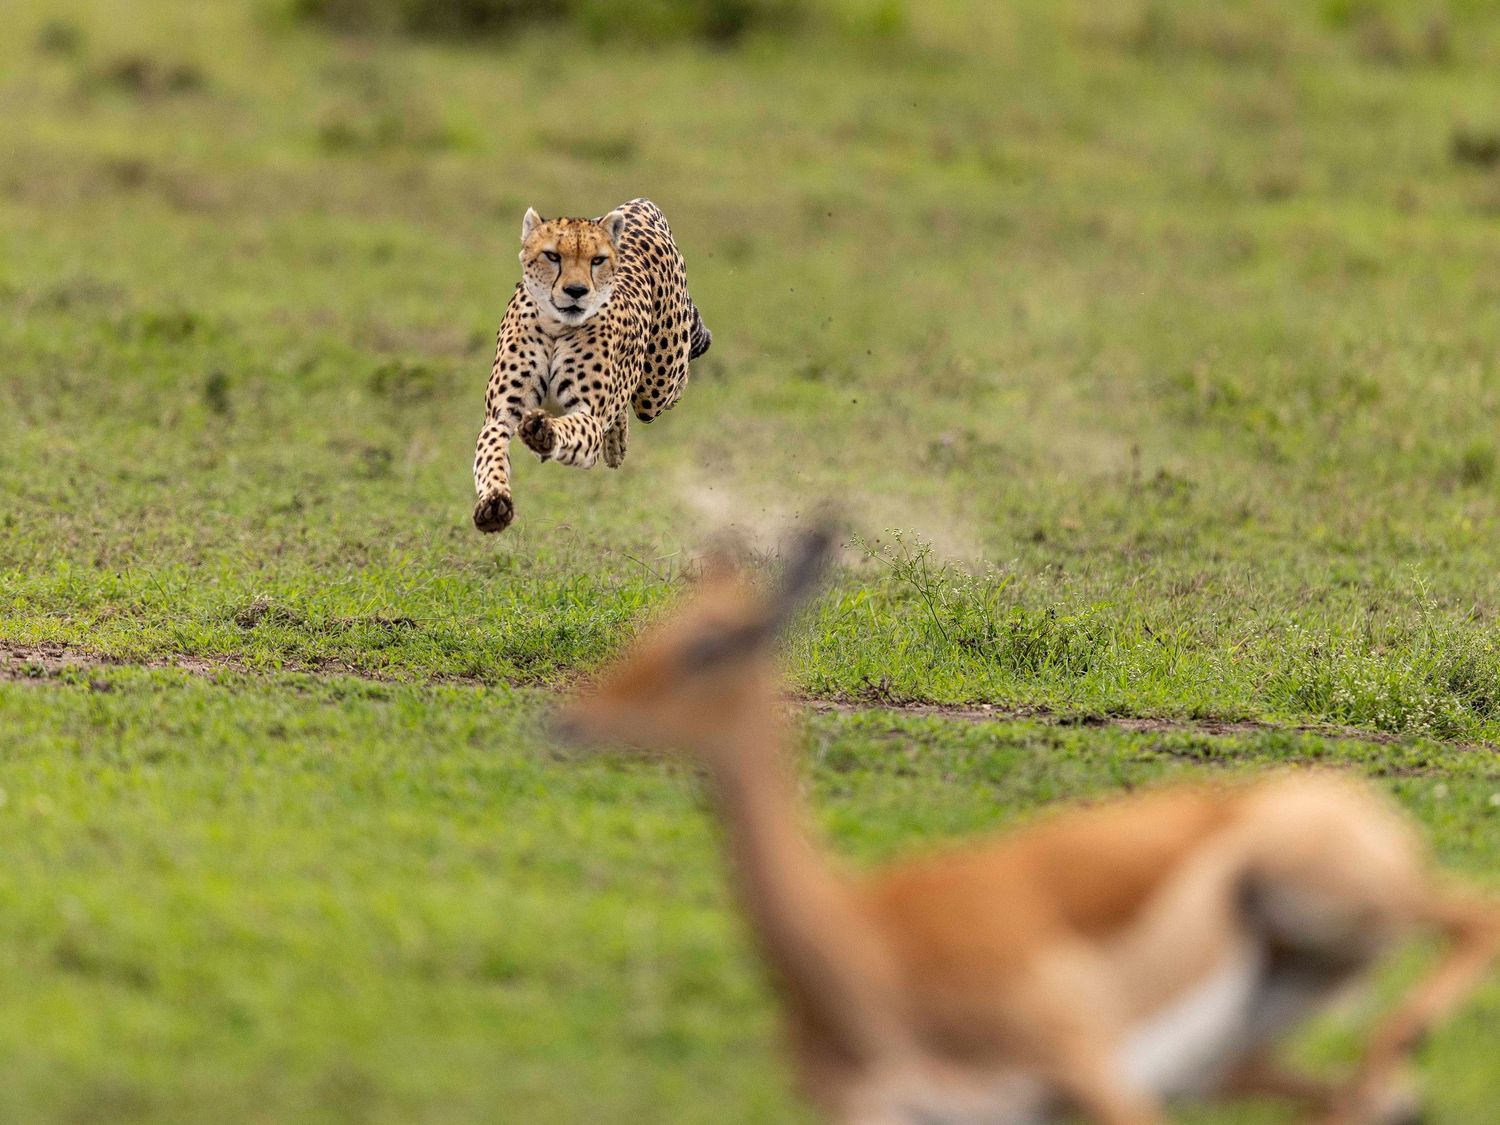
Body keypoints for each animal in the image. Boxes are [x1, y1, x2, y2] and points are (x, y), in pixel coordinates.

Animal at [472, 198, 712, 533]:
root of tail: (638, 203)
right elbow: (490, 455)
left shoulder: (587, 415)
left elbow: (571, 428)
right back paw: (617, 444)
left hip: (656, 386)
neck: (557, 324)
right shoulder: (501, 415)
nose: (576, 291)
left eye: (596, 260)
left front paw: (544, 432)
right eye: (552, 255)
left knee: (672, 381)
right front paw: (494, 503)